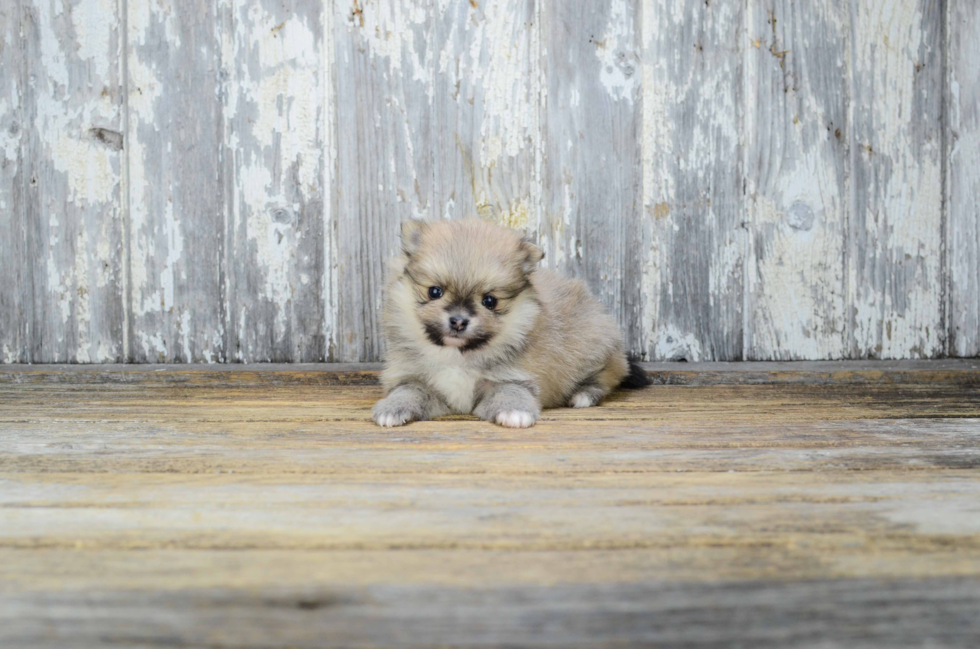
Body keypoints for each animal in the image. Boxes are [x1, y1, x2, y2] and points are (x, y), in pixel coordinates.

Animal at [376, 220, 652, 428]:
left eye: (489, 301)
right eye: (434, 292)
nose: (458, 321)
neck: (457, 355)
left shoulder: (513, 377)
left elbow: (510, 392)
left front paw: (514, 412)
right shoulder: (416, 378)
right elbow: (408, 391)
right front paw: (392, 408)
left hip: (594, 345)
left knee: (611, 373)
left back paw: (583, 394)